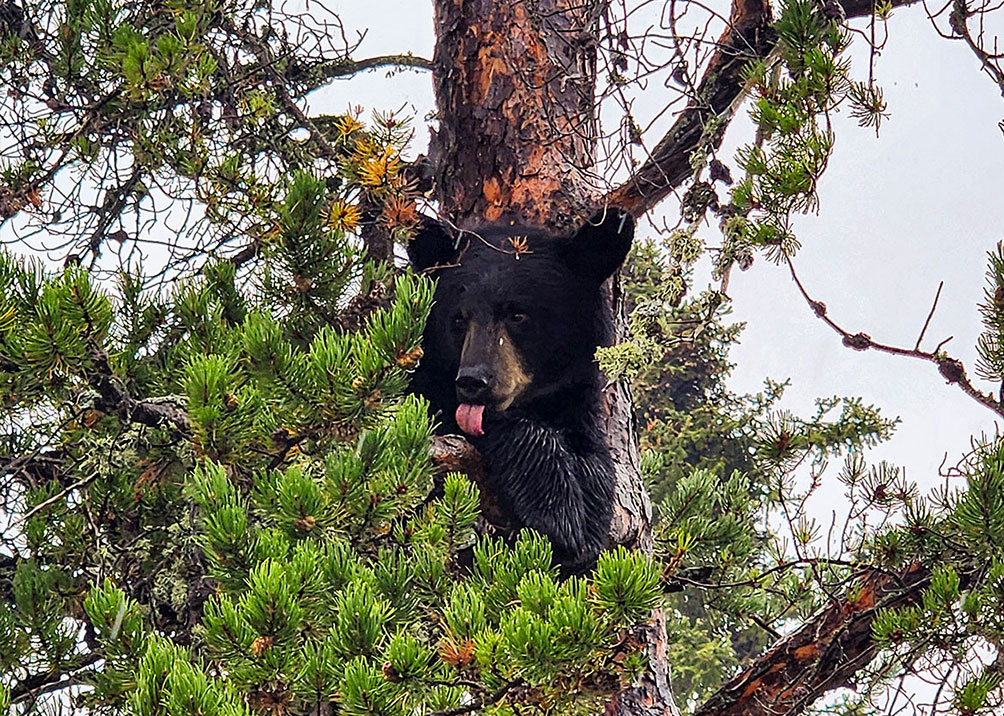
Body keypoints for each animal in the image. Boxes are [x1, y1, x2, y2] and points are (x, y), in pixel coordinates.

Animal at [408, 208, 635, 573]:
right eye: (458, 318)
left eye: (517, 314)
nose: (472, 381)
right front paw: (560, 515)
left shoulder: (574, 401)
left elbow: (594, 455)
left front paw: (590, 517)